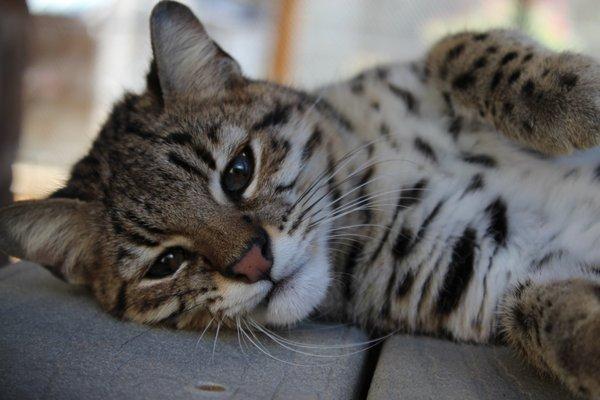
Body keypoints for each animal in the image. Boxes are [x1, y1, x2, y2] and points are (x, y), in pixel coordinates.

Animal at [1, 0, 600, 396]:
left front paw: (579, 97)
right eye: (166, 263)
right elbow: (537, 316)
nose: (254, 262)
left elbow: (458, 47)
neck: (365, 188)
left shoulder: (416, 70)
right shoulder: (496, 281)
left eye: (238, 171)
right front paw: (586, 339)